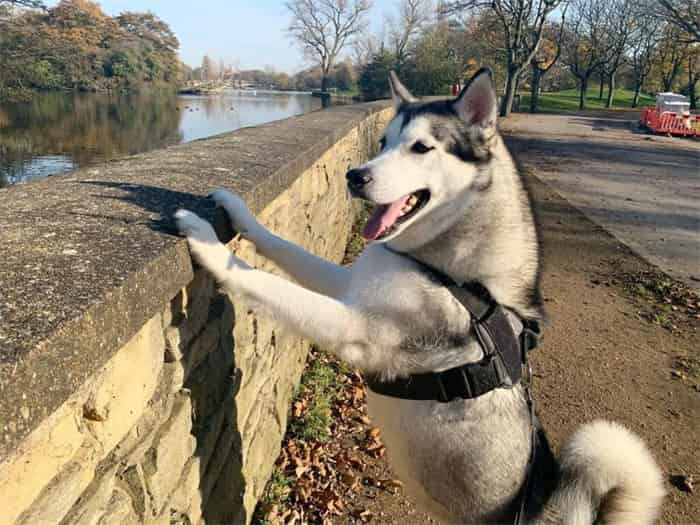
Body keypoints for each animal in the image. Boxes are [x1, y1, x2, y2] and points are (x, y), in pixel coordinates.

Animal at [174, 69, 660, 524]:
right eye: (384, 141)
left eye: (421, 148)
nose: (354, 176)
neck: (451, 271)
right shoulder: (351, 286)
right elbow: (282, 247)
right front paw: (236, 212)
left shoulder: (355, 326)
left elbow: (263, 282)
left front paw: (206, 243)